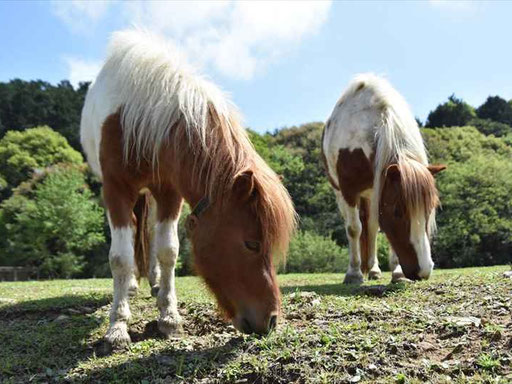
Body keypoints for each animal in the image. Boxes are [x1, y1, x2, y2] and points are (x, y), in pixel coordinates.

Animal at [80, 30, 296, 348]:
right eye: (252, 244)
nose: (271, 321)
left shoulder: (170, 192)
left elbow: (168, 251)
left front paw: (169, 317)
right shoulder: (116, 189)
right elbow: (120, 258)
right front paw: (117, 326)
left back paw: (155, 283)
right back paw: (130, 286)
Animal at [322, 74, 446, 284]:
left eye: (429, 210)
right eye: (397, 212)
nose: (423, 271)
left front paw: (397, 272)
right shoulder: (348, 191)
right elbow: (354, 229)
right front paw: (353, 274)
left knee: (372, 227)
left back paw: (373, 269)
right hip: (341, 193)